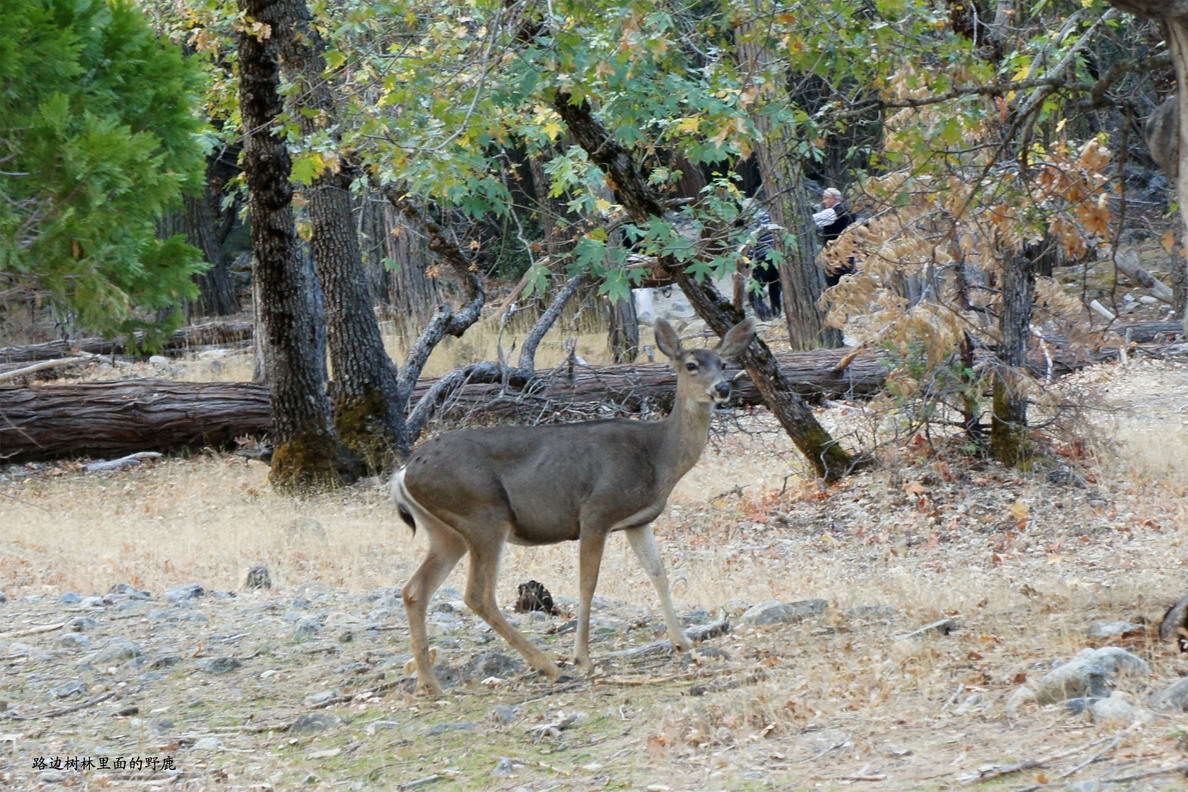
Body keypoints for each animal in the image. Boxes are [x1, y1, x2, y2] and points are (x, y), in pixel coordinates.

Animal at [394, 315, 755, 693]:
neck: (657, 456)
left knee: (414, 590)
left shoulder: (638, 521)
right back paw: (549, 666)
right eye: (691, 365)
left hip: (447, 532)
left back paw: (430, 684)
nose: (723, 388)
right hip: (482, 515)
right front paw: (583, 658)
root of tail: (404, 472)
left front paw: (683, 642)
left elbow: (659, 574)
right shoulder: (596, 512)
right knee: (478, 594)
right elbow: (588, 584)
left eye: (724, 364)